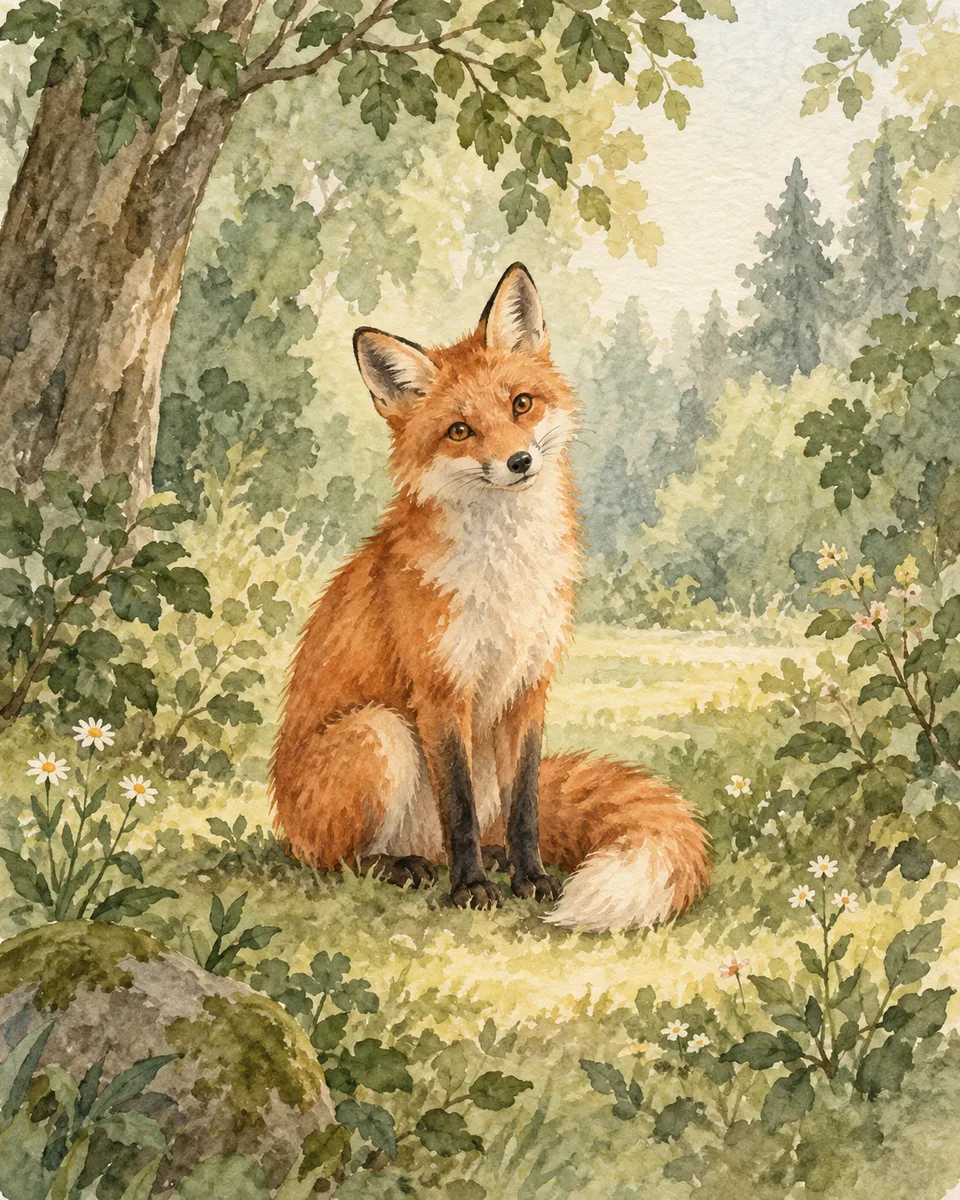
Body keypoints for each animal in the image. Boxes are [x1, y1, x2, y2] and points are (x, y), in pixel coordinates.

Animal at [270, 263, 709, 932]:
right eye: (460, 430)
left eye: (521, 404)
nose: (519, 460)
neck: (506, 574)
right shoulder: (442, 693)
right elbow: (459, 813)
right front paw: (471, 888)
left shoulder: (529, 687)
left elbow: (525, 806)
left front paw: (531, 878)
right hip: (380, 732)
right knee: (338, 858)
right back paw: (402, 867)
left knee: (487, 822)